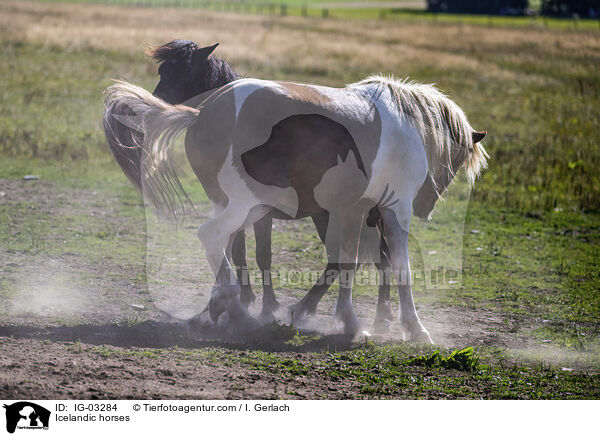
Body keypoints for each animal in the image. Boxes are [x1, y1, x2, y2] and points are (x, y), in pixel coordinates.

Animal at [103, 70, 488, 340]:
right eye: (459, 161)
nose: (428, 206)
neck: (406, 126)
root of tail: (201, 113)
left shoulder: (353, 211)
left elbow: (346, 264)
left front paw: (349, 321)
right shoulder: (393, 210)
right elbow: (396, 268)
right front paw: (413, 329)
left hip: (235, 205)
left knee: (224, 244)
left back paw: (223, 310)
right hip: (246, 204)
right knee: (211, 235)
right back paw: (235, 309)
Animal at [105, 41, 398, 328]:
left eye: (184, 70)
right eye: (162, 71)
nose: (143, 112)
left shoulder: (261, 213)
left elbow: (261, 255)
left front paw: (265, 306)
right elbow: (237, 250)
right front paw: (239, 300)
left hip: (332, 215)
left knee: (353, 258)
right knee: (377, 257)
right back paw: (377, 314)